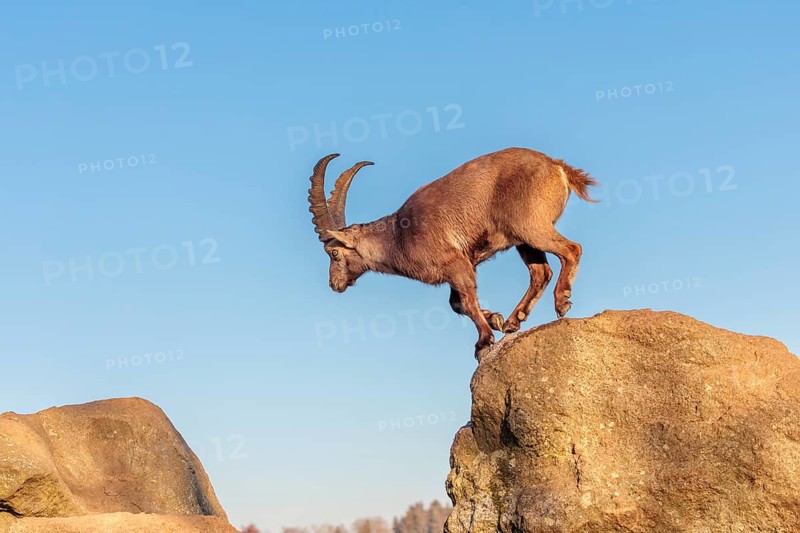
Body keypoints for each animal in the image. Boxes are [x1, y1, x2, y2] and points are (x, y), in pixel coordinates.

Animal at [308, 147, 597, 358]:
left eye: (333, 254)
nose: (334, 284)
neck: (398, 236)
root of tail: (557, 167)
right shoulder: (462, 266)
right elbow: (456, 303)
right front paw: (495, 319)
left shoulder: (456, 263)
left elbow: (467, 302)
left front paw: (483, 342)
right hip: (523, 239)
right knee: (540, 272)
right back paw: (514, 321)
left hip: (530, 226)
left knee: (571, 249)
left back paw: (562, 302)